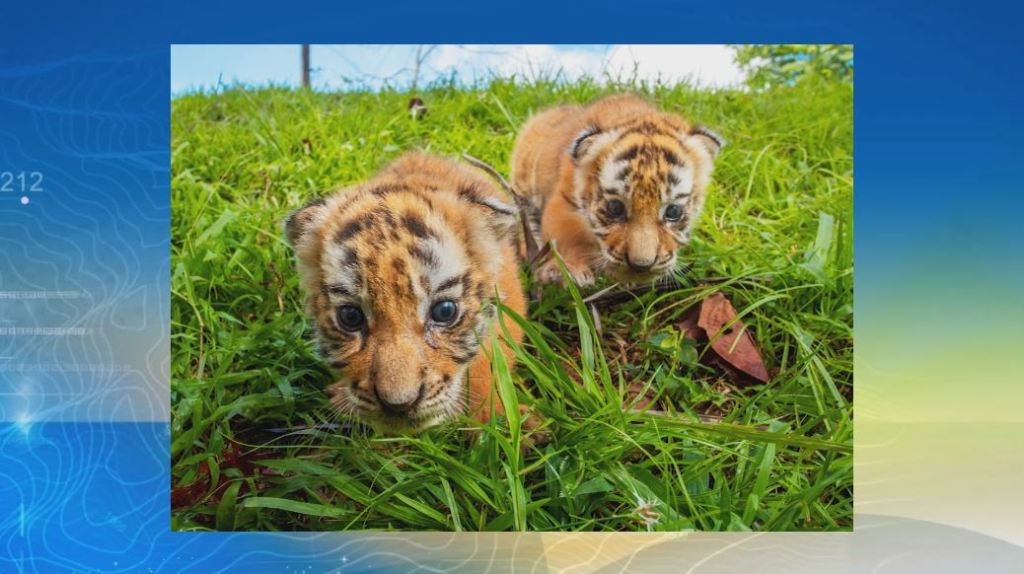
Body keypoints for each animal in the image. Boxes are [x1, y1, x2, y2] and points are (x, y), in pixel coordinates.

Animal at [511, 94, 724, 286]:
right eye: (615, 208)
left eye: (673, 211)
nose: (641, 265)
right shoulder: (564, 203)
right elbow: (566, 237)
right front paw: (568, 271)